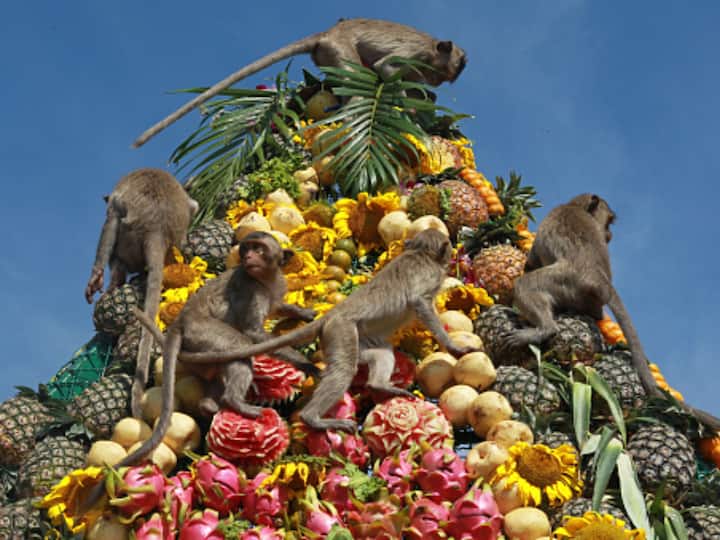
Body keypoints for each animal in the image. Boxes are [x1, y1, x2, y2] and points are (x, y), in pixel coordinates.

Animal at [85, 168, 199, 420]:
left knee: (115, 239)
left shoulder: (115, 202)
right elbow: (194, 206)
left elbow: (110, 222)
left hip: (128, 241)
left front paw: (96, 276)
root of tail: (158, 230)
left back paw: (114, 282)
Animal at [132, 18, 467, 148]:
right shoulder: (416, 56)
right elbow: (386, 67)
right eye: (458, 66)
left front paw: (424, 102)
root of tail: (327, 34)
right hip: (338, 50)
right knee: (356, 82)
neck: (432, 49)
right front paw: (409, 107)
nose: (444, 81)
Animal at [178, 228, 479, 432]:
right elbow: (421, 304)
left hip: (353, 338)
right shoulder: (428, 278)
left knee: (379, 354)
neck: (420, 253)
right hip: (340, 332)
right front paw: (453, 346)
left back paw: (379, 385)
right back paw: (313, 418)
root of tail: (331, 316)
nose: (452, 253)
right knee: (343, 370)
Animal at [505, 193, 720, 431]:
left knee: (526, 285)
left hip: (564, 281)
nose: (609, 234)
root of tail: (598, 278)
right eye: (608, 222)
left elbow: (532, 261)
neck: (573, 206)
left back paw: (543, 329)